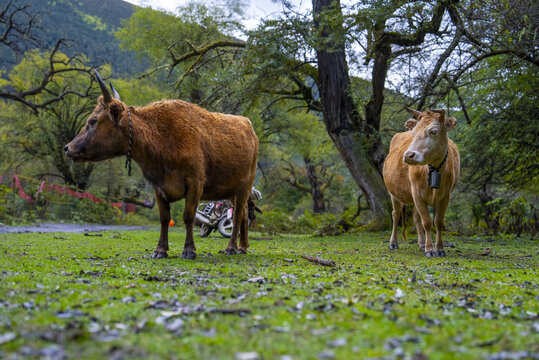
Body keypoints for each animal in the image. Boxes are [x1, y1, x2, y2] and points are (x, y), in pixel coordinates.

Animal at [65, 71, 260, 260]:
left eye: (92, 121)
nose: (68, 148)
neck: (161, 137)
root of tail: (248, 125)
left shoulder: (195, 182)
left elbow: (188, 216)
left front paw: (189, 250)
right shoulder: (158, 186)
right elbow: (164, 218)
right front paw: (160, 250)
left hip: (244, 186)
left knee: (237, 215)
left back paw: (231, 247)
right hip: (231, 190)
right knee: (243, 215)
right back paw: (242, 247)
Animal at [384, 106, 460, 256]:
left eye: (433, 131)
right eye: (413, 132)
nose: (409, 155)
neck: (433, 169)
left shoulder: (445, 195)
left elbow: (438, 222)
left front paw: (439, 248)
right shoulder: (417, 193)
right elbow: (427, 222)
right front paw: (430, 249)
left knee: (416, 216)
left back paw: (421, 243)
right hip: (393, 193)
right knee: (396, 214)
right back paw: (393, 243)